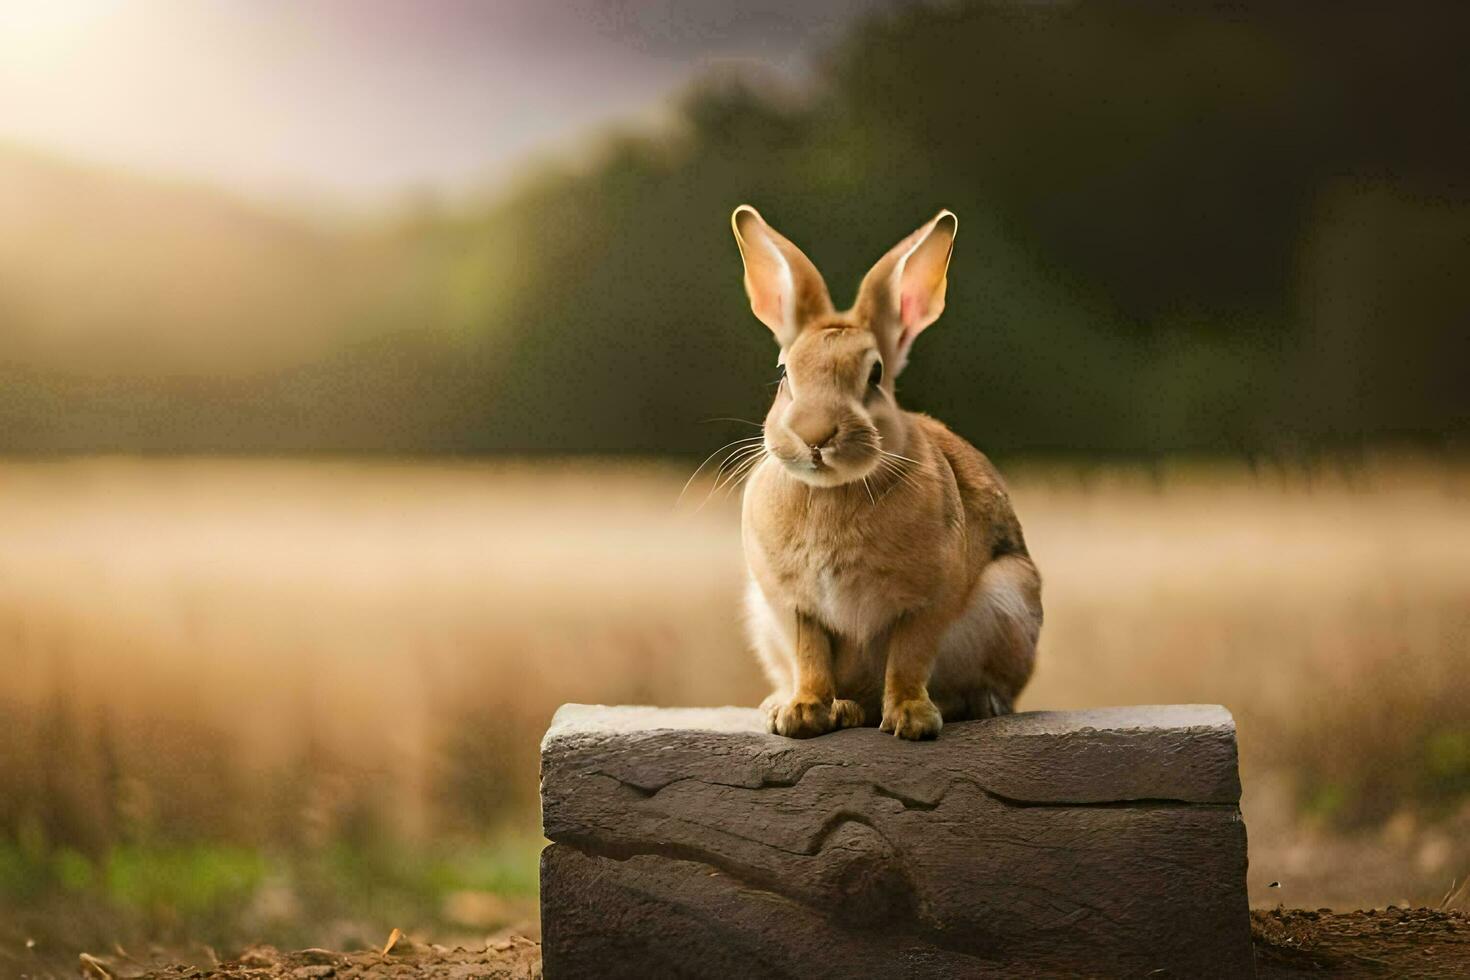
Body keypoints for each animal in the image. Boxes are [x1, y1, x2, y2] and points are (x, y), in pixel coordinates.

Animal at [729, 208, 1040, 743]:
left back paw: (968, 704)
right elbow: (811, 658)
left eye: (874, 376)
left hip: (1009, 600)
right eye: (784, 373)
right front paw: (802, 715)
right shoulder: (796, 607)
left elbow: (909, 658)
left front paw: (912, 720)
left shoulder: (926, 602)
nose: (815, 435)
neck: (832, 491)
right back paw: (809, 707)